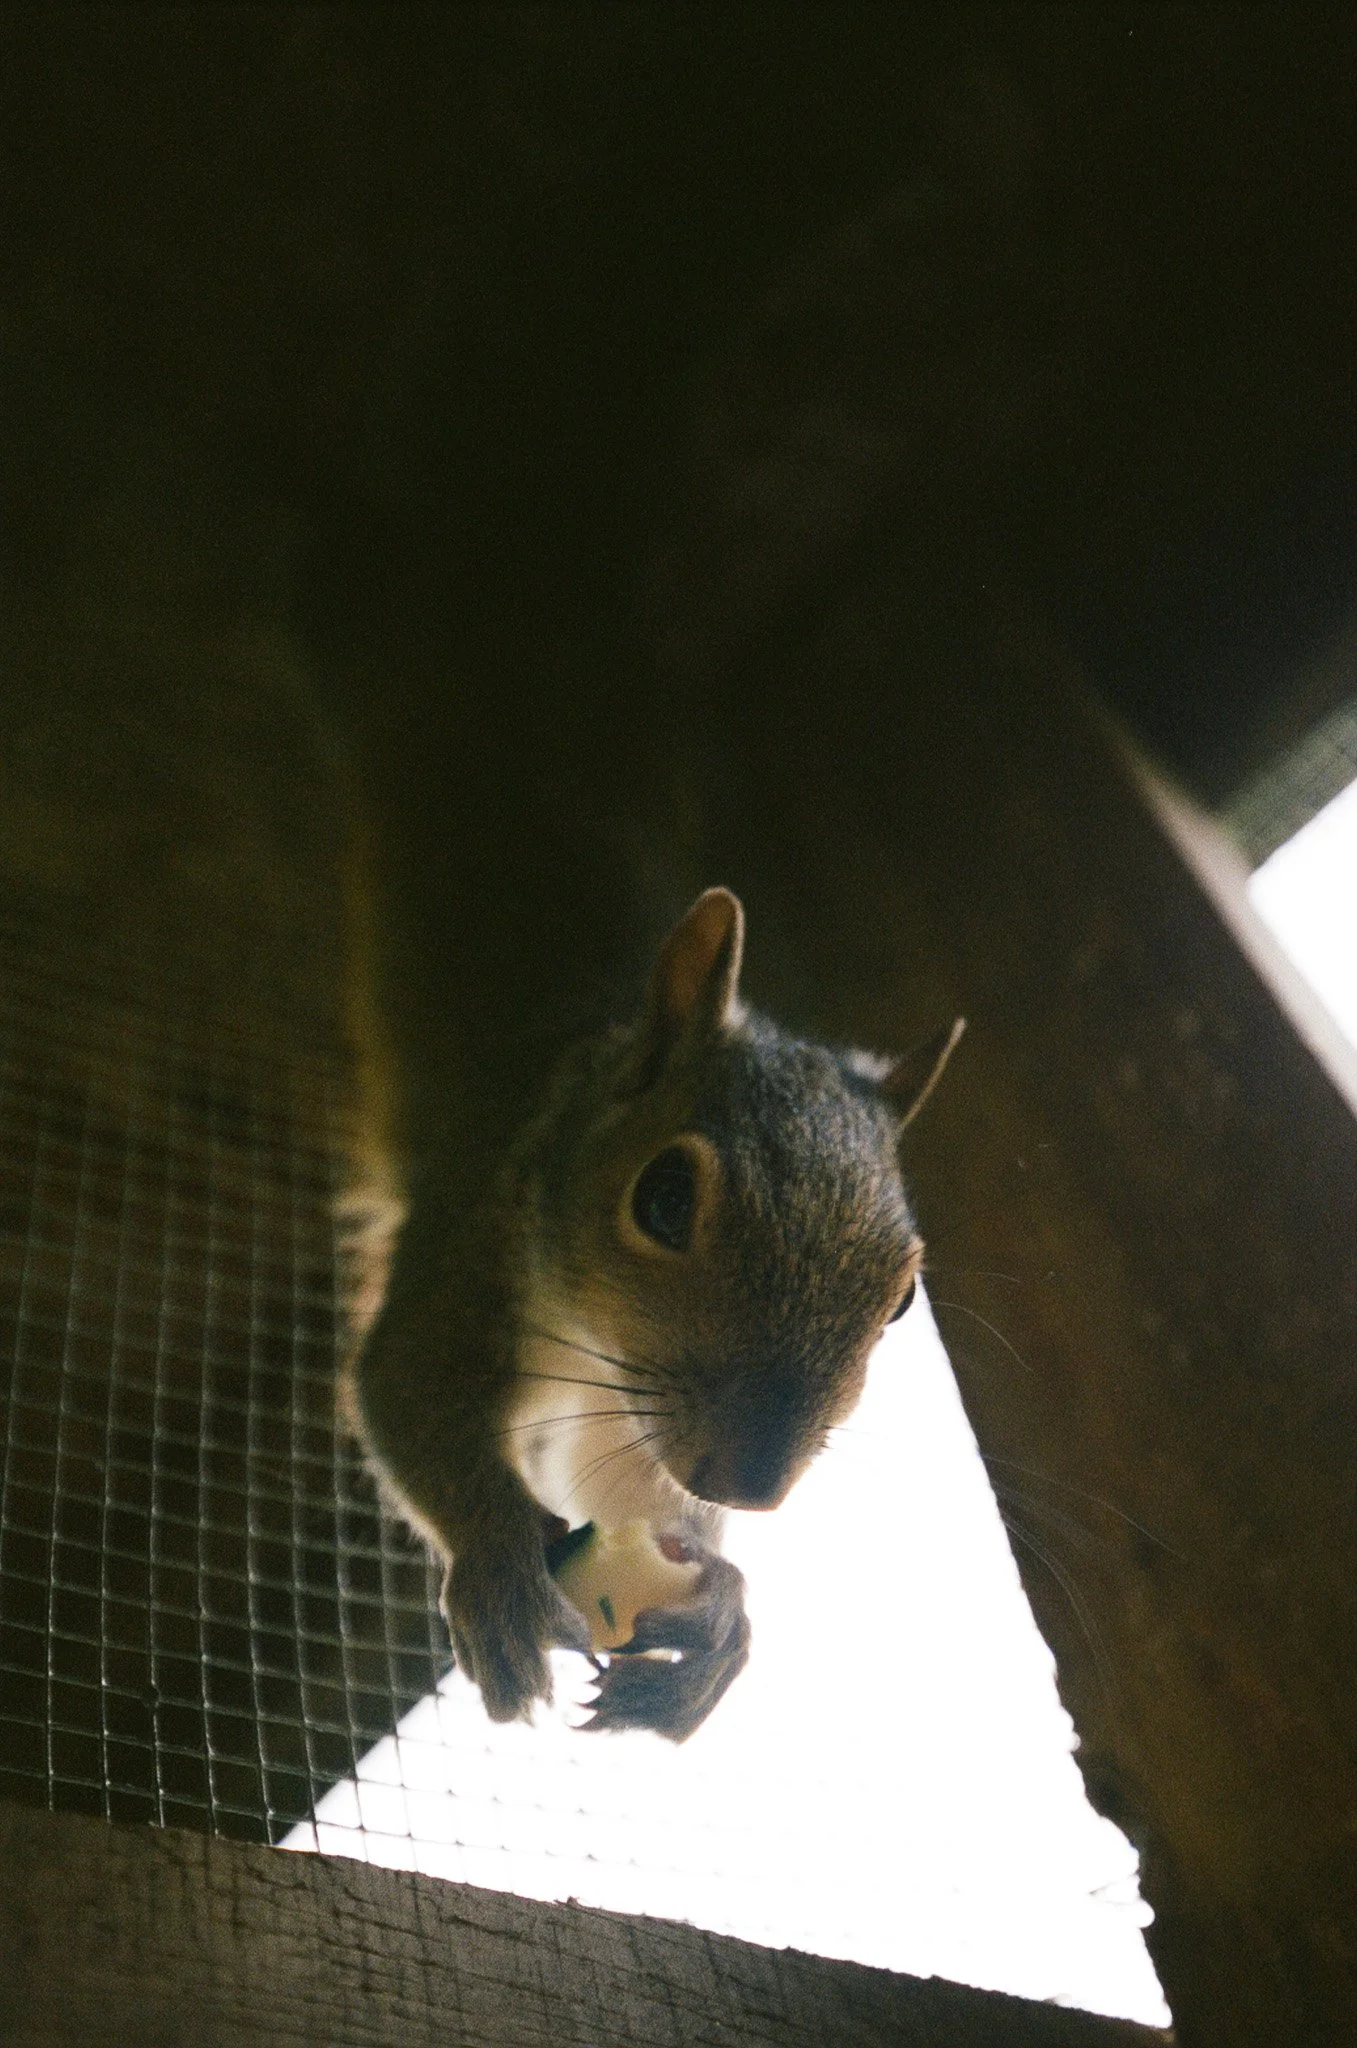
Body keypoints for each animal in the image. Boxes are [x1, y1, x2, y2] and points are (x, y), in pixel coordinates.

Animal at [340, 880, 962, 1741]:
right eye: (663, 1200)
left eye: (901, 1299)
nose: (748, 1490)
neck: (587, 1346)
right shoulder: (469, 1240)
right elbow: (407, 1385)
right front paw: (501, 1571)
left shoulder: (628, 1425)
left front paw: (716, 1611)